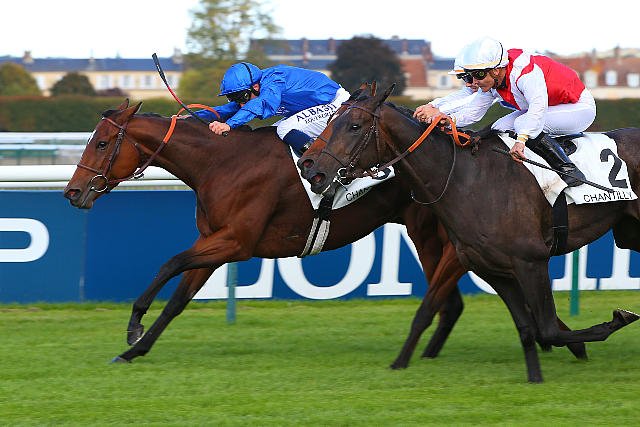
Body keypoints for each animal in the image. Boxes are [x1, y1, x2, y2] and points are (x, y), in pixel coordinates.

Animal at [63, 97, 470, 364]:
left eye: (102, 143)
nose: (73, 192)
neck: (221, 162)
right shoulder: (213, 239)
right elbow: (179, 298)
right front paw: (135, 350)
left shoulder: (236, 242)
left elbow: (170, 263)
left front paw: (134, 325)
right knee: (451, 303)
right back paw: (427, 354)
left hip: (433, 236)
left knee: (448, 298)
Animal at [301, 84, 640, 382]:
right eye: (330, 121)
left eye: (354, 126)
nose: (310, 167)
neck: (467, 179)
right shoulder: (492, 268)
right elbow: (527, 329)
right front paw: (535, 377)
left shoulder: (530, 262)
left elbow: (548, 330)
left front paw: (617, 320)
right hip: (628, 233)